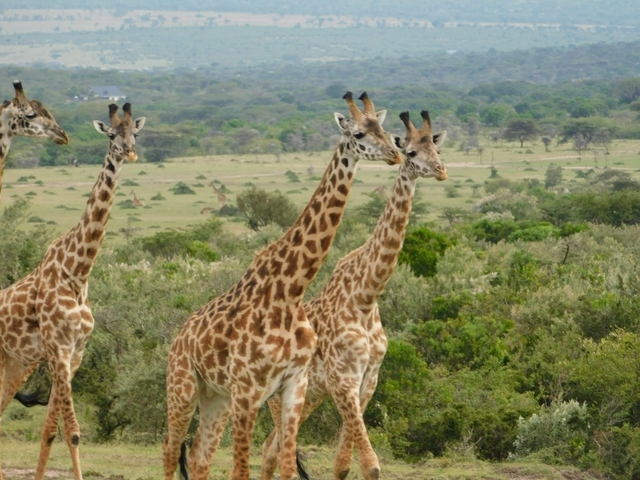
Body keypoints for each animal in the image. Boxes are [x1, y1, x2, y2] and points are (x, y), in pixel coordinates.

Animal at [0, 103, 145, 480]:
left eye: (135, 133)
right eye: (111, 134)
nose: (129, 152)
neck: (78, 272)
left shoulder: (74, 353)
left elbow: (51, 430)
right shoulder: (59, 351)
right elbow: (74, 431)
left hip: (16, 363)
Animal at [163, 92, 402, 480]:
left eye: (384, 129)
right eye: (359, 134)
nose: (395, 154)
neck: (289, 291)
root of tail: (179, 337)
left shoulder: (294, 386)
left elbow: (287, 467)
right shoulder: (249, 390)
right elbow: (242, 471)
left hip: (216, 397)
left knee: (199, 456)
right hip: (183, 388)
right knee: (170, 450)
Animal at [261, 110, 447, 480]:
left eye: (436, 150)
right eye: (412, 153)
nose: (441, 170)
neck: (365, 296)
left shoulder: (367, 382)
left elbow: (344, 464)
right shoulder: (343, 380)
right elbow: (370, 465)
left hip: (310, 398)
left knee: (269, 448)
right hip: (281, 397)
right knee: (272, 450)